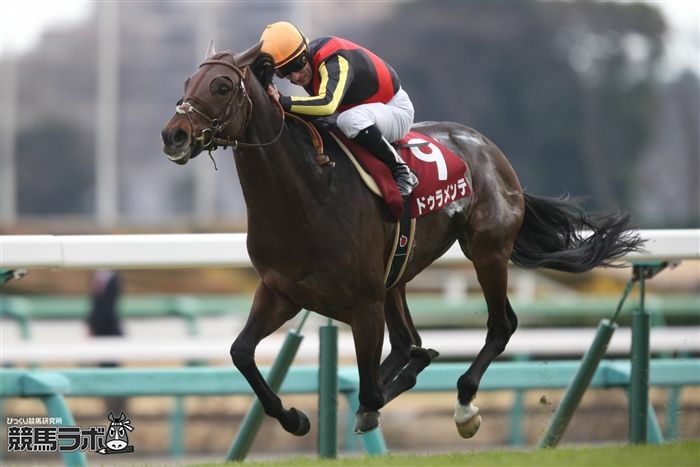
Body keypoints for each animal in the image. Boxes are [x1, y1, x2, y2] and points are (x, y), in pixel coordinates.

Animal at [161, 43, 644, 438]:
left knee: (501, 324)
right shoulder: (281, 290)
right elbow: (241, 352)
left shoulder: (364, 301)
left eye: (222, 85)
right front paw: (295, 418)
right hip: (399, 274)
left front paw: (380, 398)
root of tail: (489, 149)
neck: (308, 193)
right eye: (186, 82)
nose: (173, 135)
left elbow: (374, 391)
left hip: (486, 251)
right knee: (406, 339)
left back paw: (464, 405)